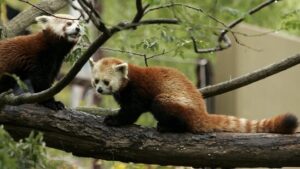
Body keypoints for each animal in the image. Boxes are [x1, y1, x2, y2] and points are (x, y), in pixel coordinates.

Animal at [89, 57, 298, 134]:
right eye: (95, 81)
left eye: (106, 82)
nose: (99, 90)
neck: (129, 77)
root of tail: (202, 112)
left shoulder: (138, 89)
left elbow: (133, 110)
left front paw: (114, 120)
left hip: (172, 102)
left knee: (166, 109)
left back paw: (168, 126)